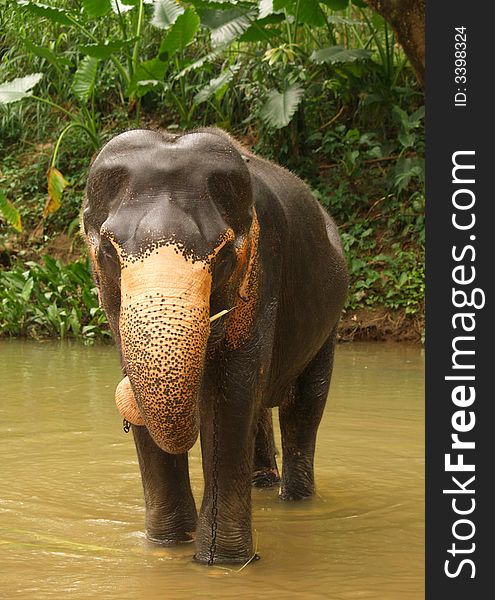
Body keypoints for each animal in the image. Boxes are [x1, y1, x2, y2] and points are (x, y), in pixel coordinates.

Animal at [82, 126, 348, 564]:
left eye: (223, 255)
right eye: (108, 250)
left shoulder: (263, 268)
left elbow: (232, 395)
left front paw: (222, 564)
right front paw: (167, 546)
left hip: (329, 323)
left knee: (303, 409)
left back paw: (295, 500)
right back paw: (262, 483)